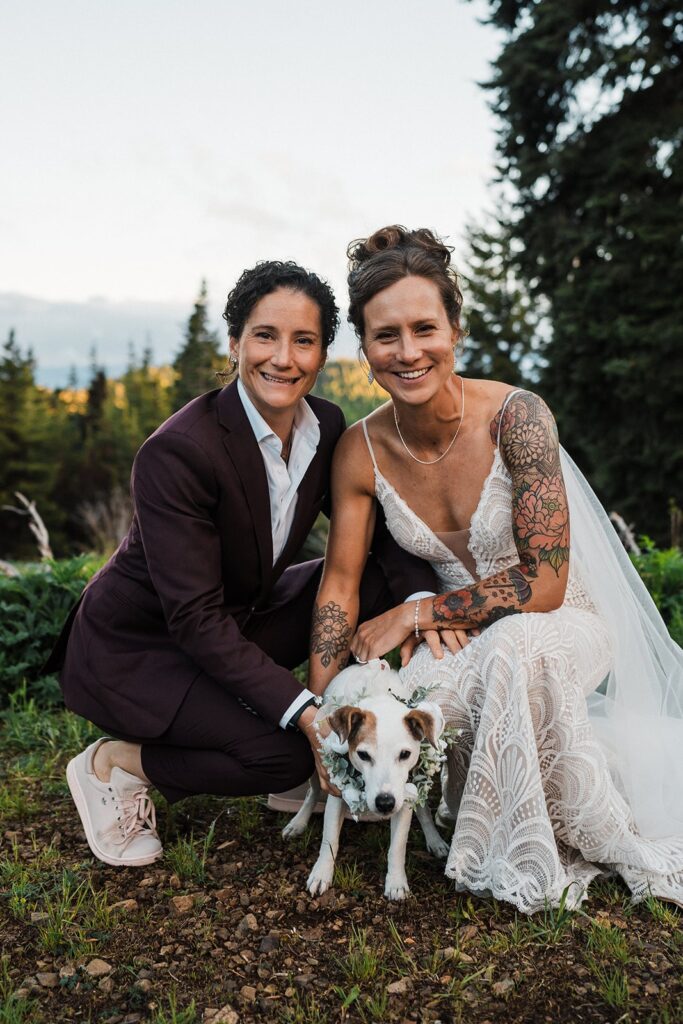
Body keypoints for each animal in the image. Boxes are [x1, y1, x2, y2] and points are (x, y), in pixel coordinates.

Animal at [282, 659, 448, 901]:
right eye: (363, 755)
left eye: (405, 754)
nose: (385, 803)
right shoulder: (337, 794)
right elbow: (329, 840)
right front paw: (321, 873)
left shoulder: (404, 797)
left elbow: (397, 846)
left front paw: (396, 881)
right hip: (316, 762)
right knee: (312, 793)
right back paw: (298, 822)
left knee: (424, 809)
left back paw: (434, 839)